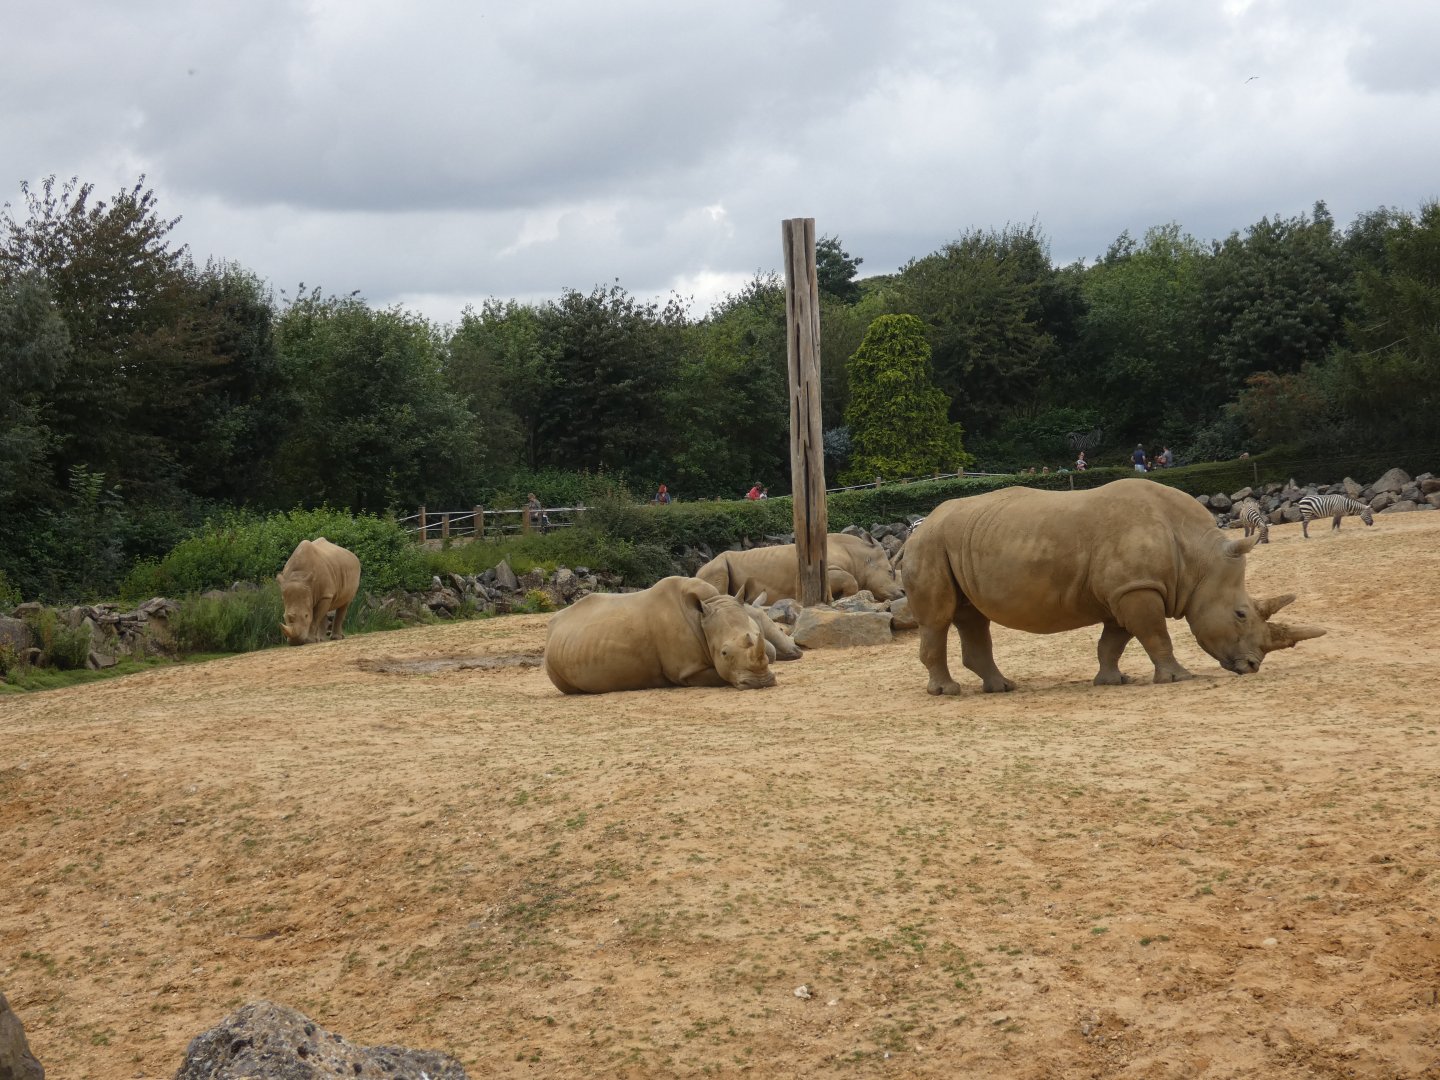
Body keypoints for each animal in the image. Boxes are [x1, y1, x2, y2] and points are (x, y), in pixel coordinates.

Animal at [696, 532, 902, 604]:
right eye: (890, 572)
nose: (903, 592)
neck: (861, 558)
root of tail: (696, 572)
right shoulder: (827, 570)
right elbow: (852, 581)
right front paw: (839, 598)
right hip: (714, 566)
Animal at [902, 479, 1325, 693]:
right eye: (1240, 614)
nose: (1252, 666)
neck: (1198, 560)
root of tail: (917, 526)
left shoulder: (1126, 590)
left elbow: (1114, 642)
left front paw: (1113, 681)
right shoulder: (1137, 588)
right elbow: (1156, 635)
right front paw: (1179, 678)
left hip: (955, 542)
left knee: (973, 617)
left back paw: (1003, 687)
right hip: (930, 545)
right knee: (938, 619)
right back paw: (947, 691)